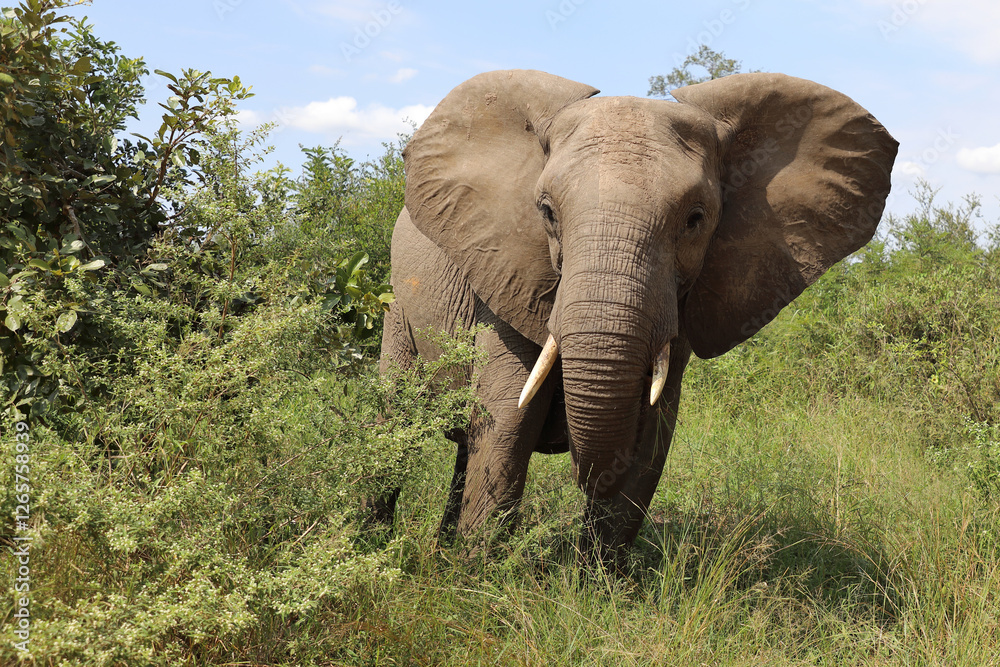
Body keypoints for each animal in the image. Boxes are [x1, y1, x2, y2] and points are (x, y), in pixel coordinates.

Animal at [378, 69, 897, 566]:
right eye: (546, 213)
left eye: (695, 219)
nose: (581, 476)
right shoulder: (505, 280)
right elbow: (507, 423)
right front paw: (476, 577)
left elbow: (650, 439)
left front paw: (597, 585)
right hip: (398, 309)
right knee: (393, 418)